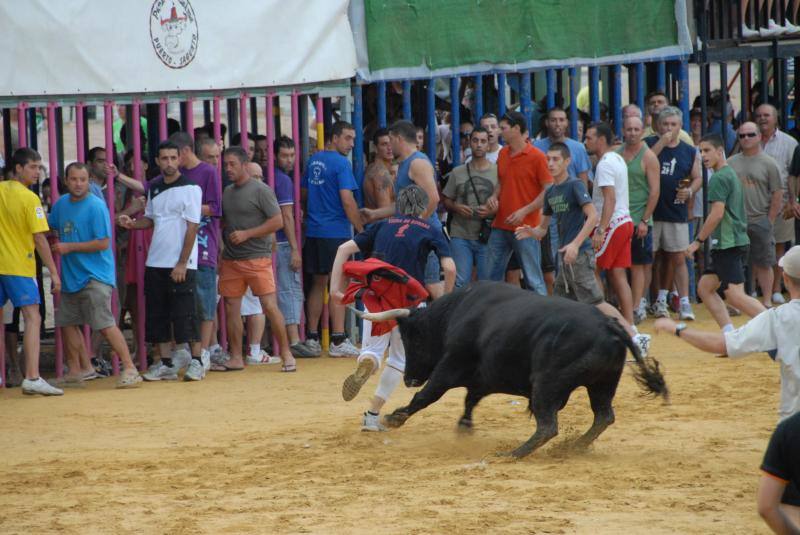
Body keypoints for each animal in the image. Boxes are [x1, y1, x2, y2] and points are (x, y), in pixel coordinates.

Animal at [360, 282, 664, 458]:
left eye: (412, 339)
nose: (409, 378)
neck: (457, 311)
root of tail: (609, 325)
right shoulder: (481, 377)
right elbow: (470, 399)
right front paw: (464, 427)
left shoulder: (451, 364)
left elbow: (428, 395)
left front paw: (395, 417)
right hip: (603, 384)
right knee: (603, 416)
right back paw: (573, 447)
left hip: (546, 383)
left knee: (548, 426)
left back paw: (513, 454)